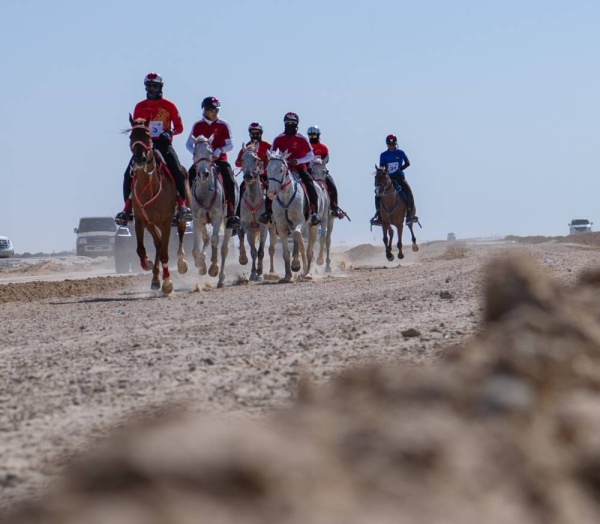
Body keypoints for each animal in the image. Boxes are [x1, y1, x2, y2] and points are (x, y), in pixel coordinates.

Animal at [127, 114, 190, 292]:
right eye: (131, 136)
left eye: (148, 136)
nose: (139, 159)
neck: (149, 187)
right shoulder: (142, 220)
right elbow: (142, 249)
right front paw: (148, 264)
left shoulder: (166, 221)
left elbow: (164, 253)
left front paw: (168, 283)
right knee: (158, 244)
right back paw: (155, 279)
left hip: (181, 217)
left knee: (180, 234)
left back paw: (181, 263)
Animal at [192, 135, 239, 288]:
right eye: (195, 152)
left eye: (211, 152)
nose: (203, 174)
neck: (206, 193)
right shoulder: (197, 220)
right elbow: (196, 249)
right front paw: (201, 266)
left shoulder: (217, 218)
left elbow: (215, 240)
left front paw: (213, 268)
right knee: (207, 238)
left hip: (227, 222)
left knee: (223, 248)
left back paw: (220, 278)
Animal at [238, 141, 278, 280]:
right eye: (242, 159)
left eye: (256, 159)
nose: (248, 176)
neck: (253, 199)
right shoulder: (249, 227)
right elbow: (253, 251)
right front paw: (253, 273)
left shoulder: (263, 226)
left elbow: (261, 251)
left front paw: (260, 272)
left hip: (272, 228)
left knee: (271, 249)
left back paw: (271, 271)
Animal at [266, 149, 326, 282]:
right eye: (267, 169)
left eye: (280, 170)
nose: (271, 193)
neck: (285, 196)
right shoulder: (281, 226)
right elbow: (286, 252)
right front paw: (288, 274)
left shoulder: (300, 222)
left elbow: (301, 242)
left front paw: (301, 267)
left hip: (312, 226)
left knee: (309, 249)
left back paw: (307, 272)